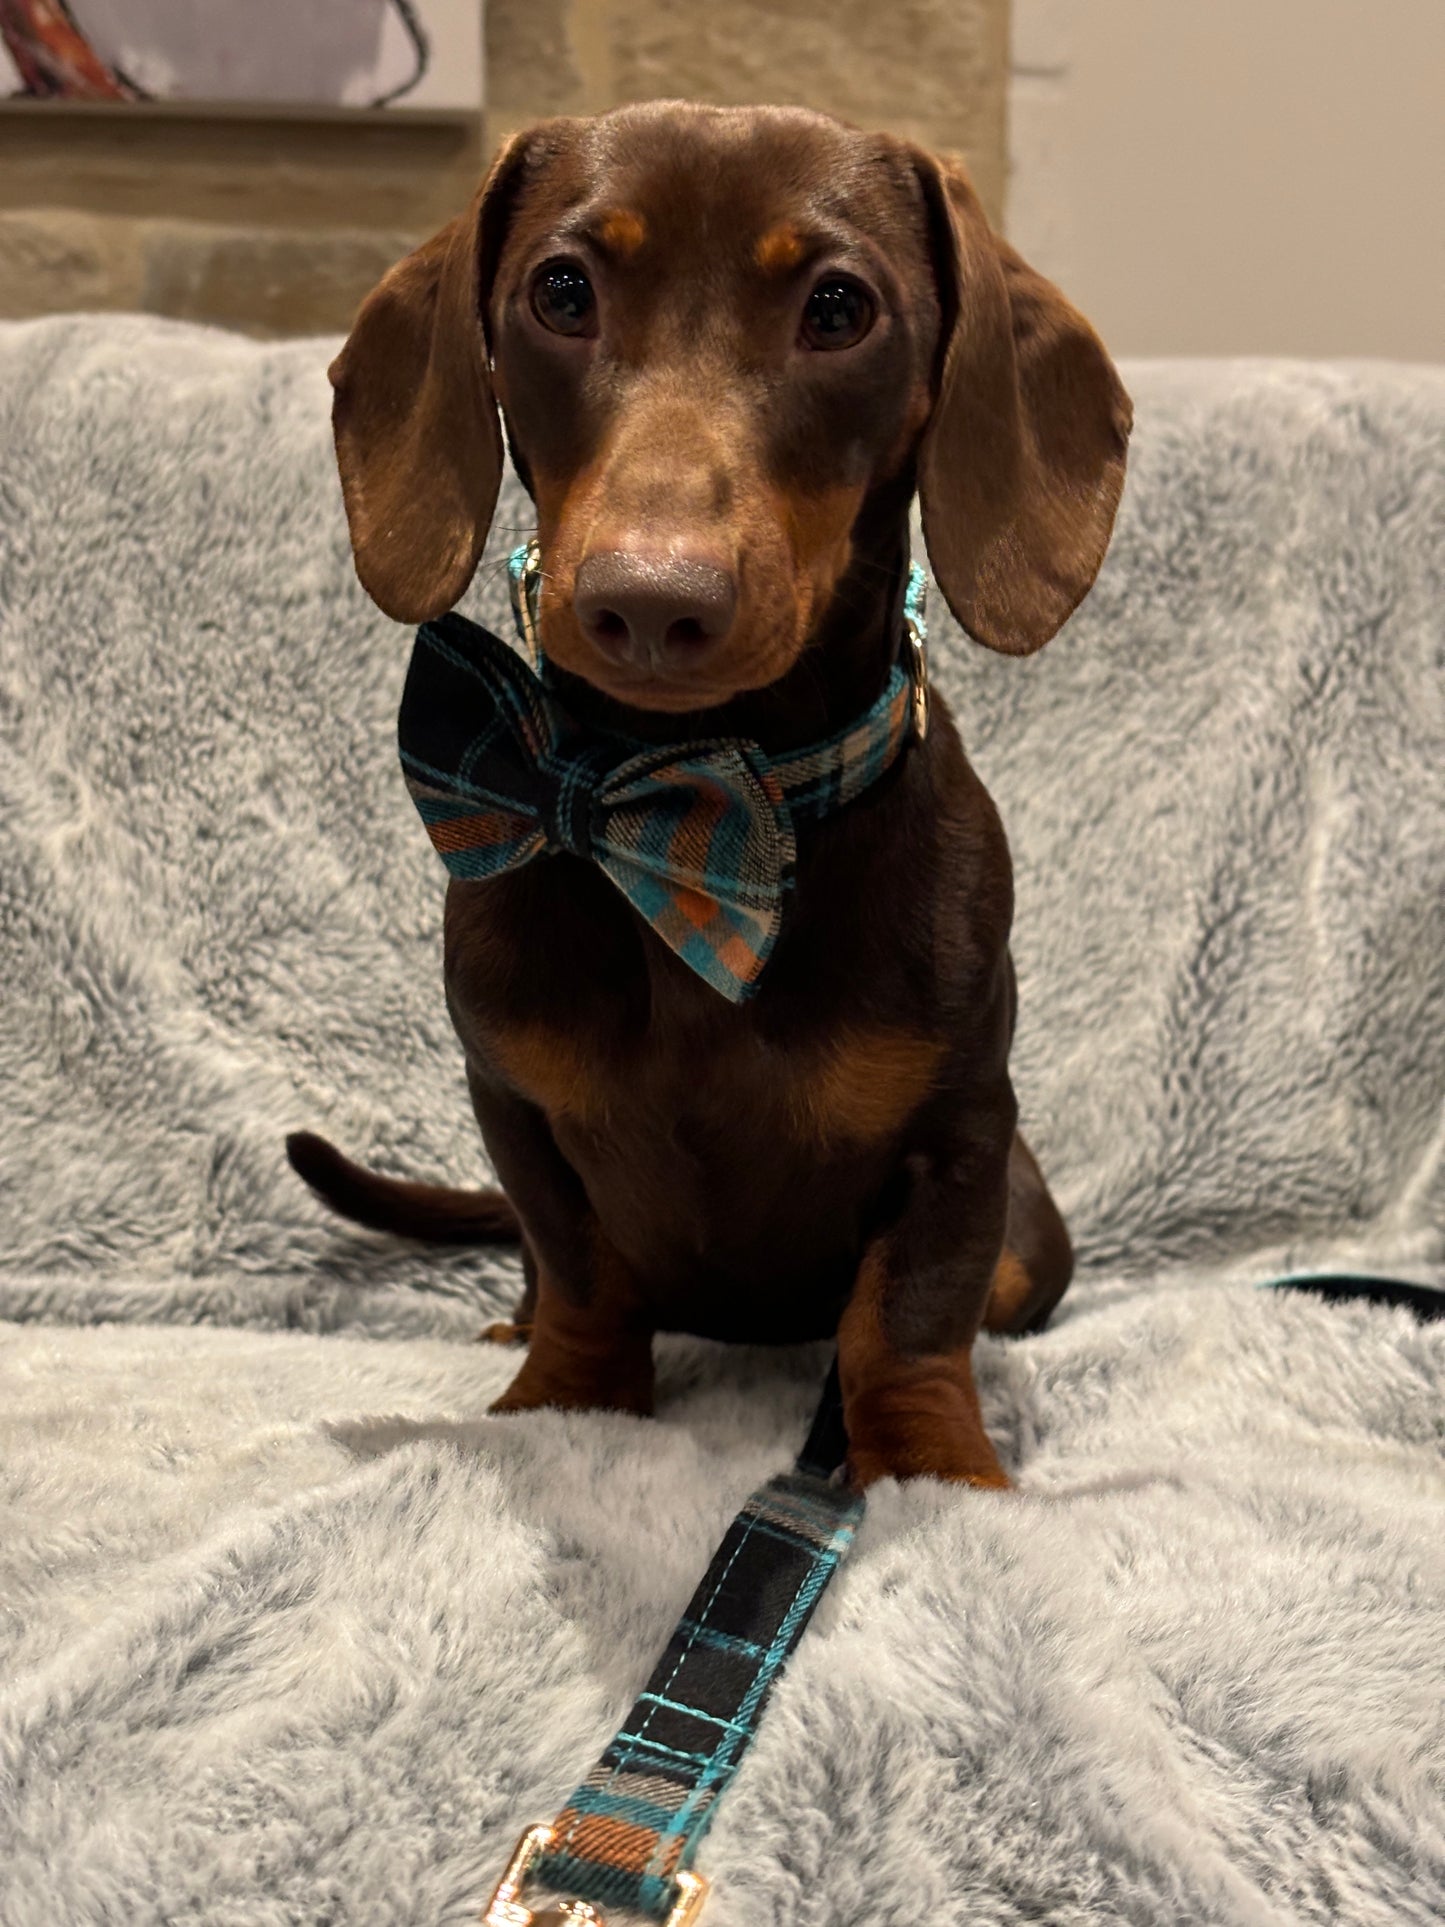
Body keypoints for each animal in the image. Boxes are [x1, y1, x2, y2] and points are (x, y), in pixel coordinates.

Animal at [294, 101, 1132, 1487]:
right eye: (560, 292)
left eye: (838, 308)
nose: (648, 601)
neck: (694, 815)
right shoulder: (513, 1104)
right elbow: (577, 1268)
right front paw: (565, 1403)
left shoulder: (958, 1134)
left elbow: (907, 1320)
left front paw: (935, 1467)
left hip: (1029, 1230)